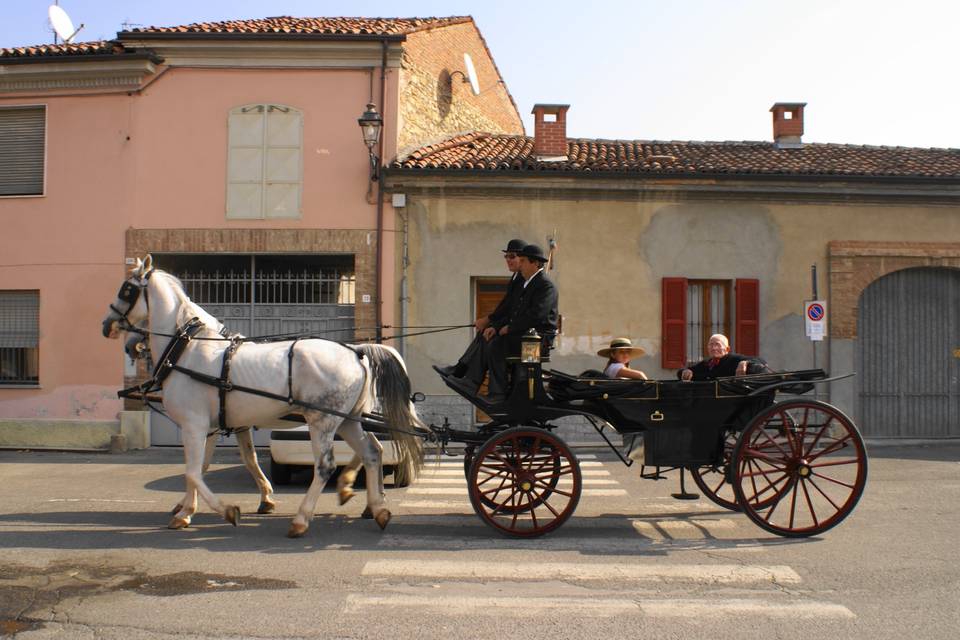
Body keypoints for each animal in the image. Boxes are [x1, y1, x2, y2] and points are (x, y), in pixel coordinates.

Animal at [103, 258, 422, 536]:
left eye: (126, 289)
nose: (107, 325)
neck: (187, 349)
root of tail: (356, 352)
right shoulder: (216, 426)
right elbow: (219, 464)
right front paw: (188, 510)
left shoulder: (195, 425)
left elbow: (193, 471)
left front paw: (222, 510)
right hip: (347, 420)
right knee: (372, 452)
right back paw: (376, 508)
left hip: (322, 422)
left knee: (326, 466)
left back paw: (302, 519)